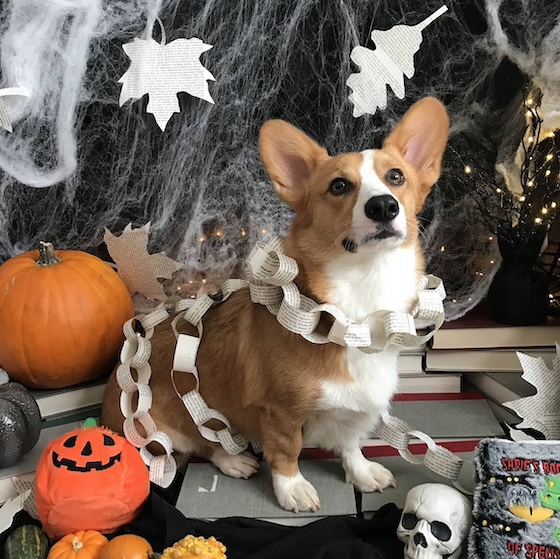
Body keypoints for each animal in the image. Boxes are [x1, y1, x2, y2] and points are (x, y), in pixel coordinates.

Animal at [103, 95, 448, 512]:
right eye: (339, 185)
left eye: (396, 177)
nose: (383, 206)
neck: (358, 305)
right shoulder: (279, 413)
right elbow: (287, 452)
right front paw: (292, 489)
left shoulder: (353, 411)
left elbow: (350, 444)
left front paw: (362, 472)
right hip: (163, 431)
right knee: (200, 444)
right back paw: (233, 460)